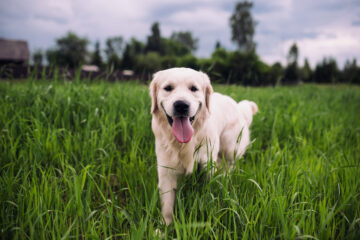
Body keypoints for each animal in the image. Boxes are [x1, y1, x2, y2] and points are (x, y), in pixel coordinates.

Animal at [150, 67, 258, 225]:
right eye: (168, 88)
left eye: (193, 88)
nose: (181, 105)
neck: (185, 143)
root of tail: (237, 105)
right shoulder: (166, 171)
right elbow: (167, 205)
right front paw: (165, 226)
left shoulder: (207, 165)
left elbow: (207, 192)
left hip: (230, 148)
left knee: (228, 166)